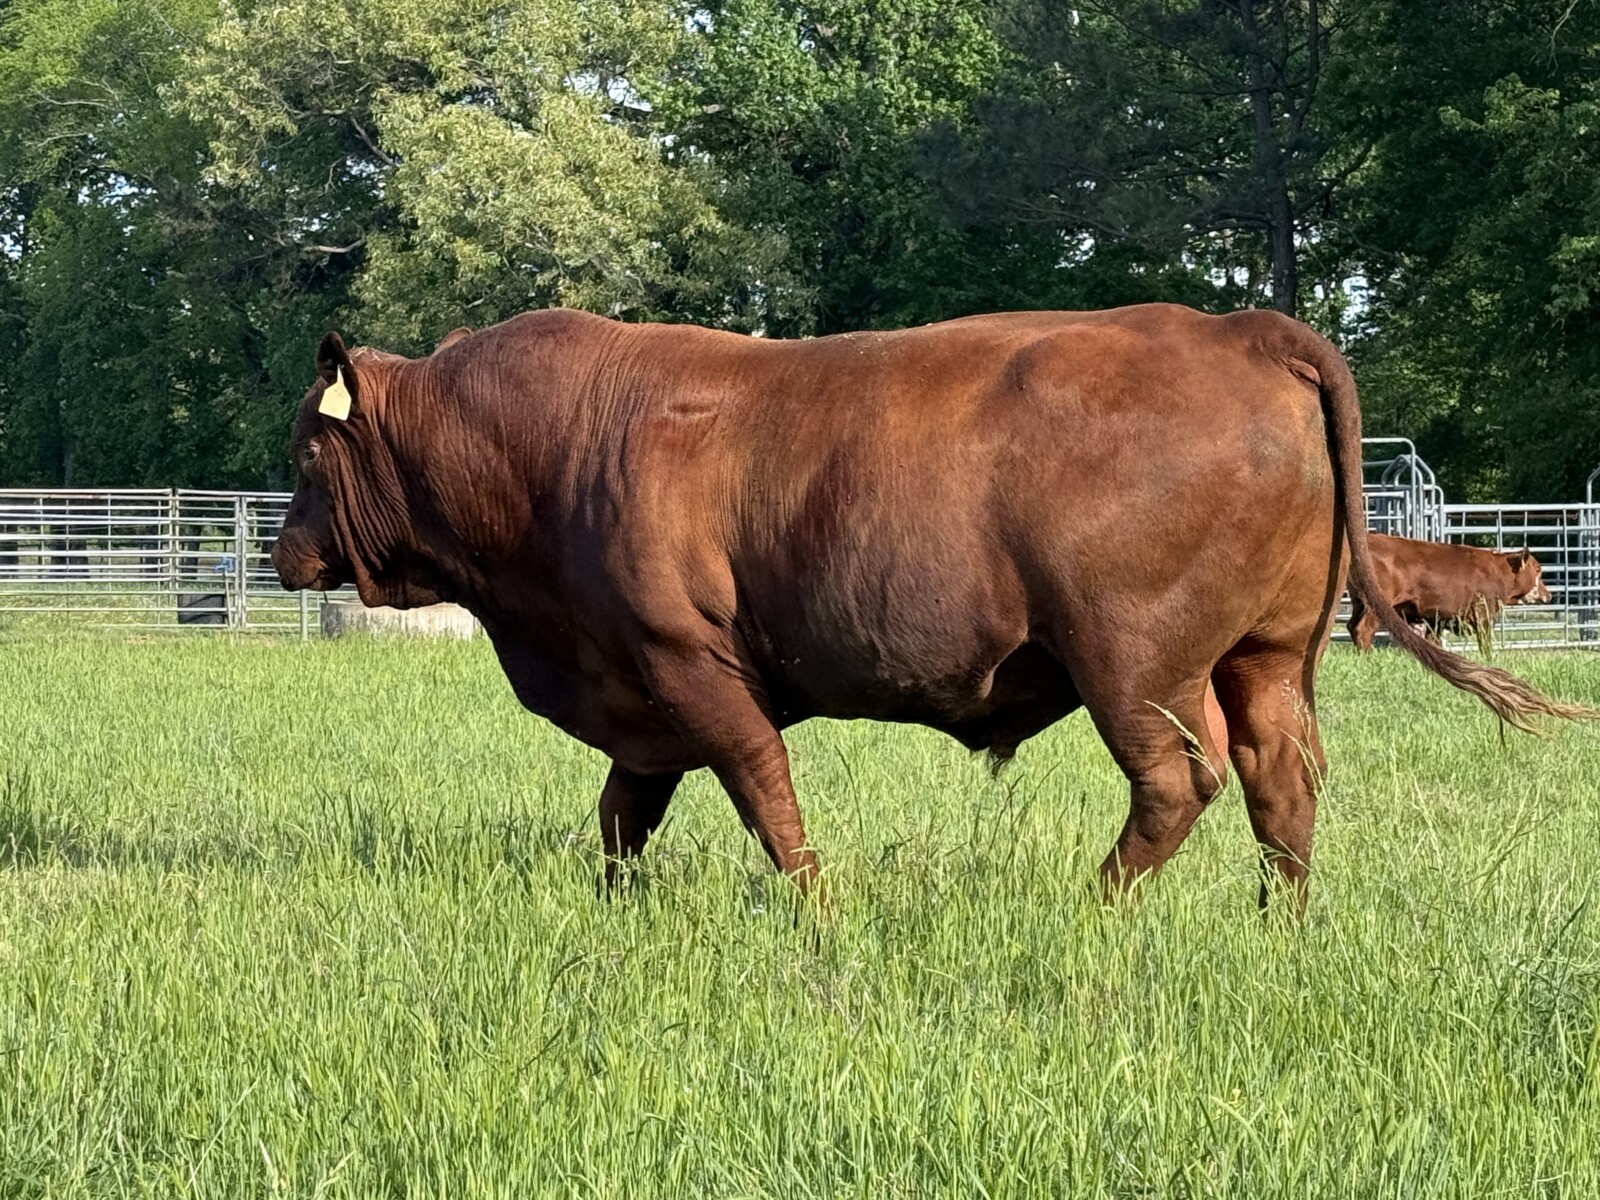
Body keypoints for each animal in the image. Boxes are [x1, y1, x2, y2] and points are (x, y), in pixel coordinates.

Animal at [1347, 534, 1554, 651]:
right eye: (1538, 569)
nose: (1549, 594)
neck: (1496, 571)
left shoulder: (1435, 619)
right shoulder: (1483, 615)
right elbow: (1485, 645)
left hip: (1358, 602)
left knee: (1351, 626)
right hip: (1376, 603)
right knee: (1364, 629)